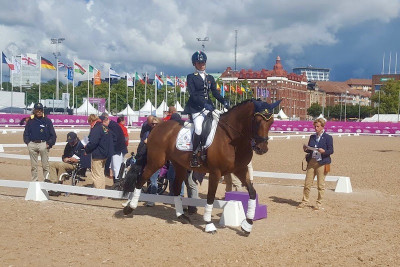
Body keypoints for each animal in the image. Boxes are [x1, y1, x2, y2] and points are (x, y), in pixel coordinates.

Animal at [123, 99, 280, 236]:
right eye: (257, 121)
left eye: (271, 122)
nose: (262, 148)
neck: (232, 139)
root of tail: (158, 127)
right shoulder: (215, 172)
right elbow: (210, 197)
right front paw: (209, 225)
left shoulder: (240, 170)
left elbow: (252, 193)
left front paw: (247, 225)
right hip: (156, 161)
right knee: (141, 180)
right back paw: (129, 208)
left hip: (179, 165)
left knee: (175, 188)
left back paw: (181, 216)